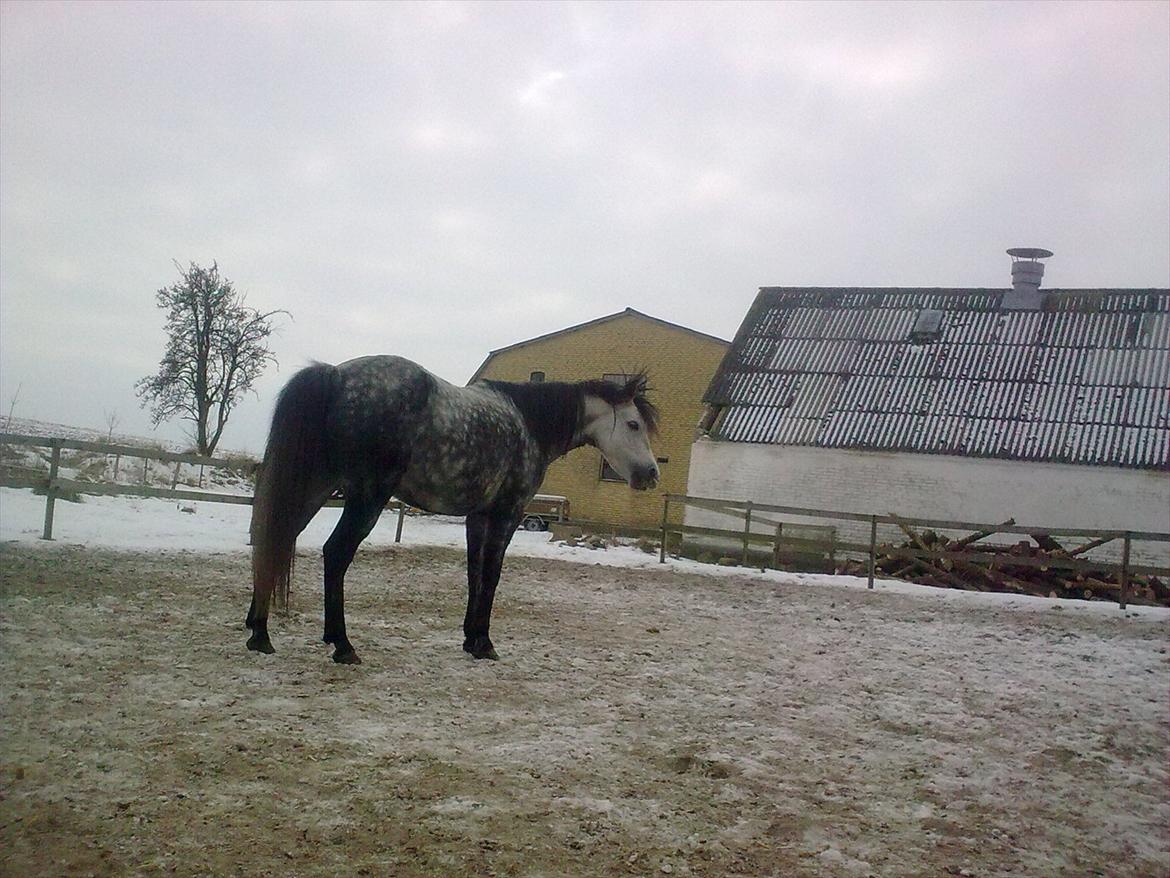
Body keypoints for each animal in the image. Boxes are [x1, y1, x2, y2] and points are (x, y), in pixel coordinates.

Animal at [244, 353, 659, 664]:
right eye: (634, 424)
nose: (651, 474)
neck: (528, 423)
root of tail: (335, 376)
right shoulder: (506, 515)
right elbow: (491, 575)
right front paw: (485, 644)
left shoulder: (477, 517)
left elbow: (474, 573)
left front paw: (470, 639)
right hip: (366, 497)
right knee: (334, 553)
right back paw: (342, 644)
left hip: (317, 486)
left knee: (276, 538)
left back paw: (259, 631)